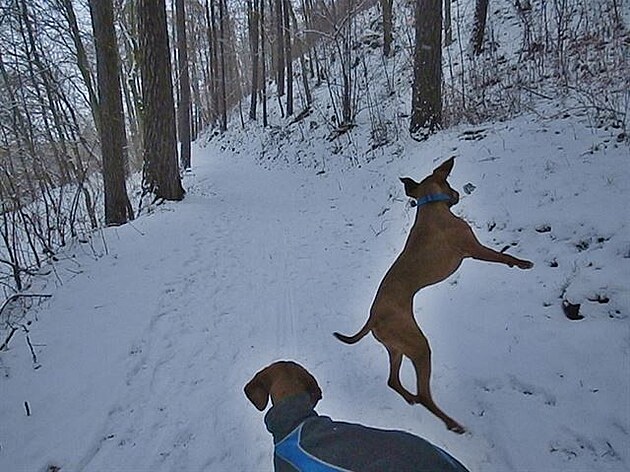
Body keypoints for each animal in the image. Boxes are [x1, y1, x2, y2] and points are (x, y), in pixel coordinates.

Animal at [334, 158, 536, 436]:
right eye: (449, 184)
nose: (458, 193)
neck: (430, 206)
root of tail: (373, 318)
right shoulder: (474, 249)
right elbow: (502, 256)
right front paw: (522, 263)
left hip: (396, 347)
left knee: (393, 381)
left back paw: (410, 398)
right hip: (419, 346)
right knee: (425, 395)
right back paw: (452, 423)